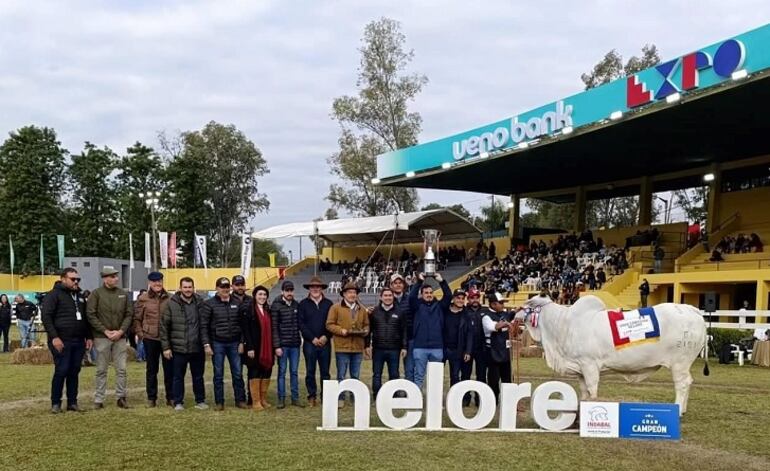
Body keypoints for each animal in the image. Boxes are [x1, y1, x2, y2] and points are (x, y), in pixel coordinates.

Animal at [516, 296, 708, 414]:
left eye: (526, 305)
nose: (514, 313)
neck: (564, 325)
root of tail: (692, 310)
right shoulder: (580, 369)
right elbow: (584, 391)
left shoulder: (589, 365)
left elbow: (592, 389)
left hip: (680, 363)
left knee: (682, 384)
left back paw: (678, 409)